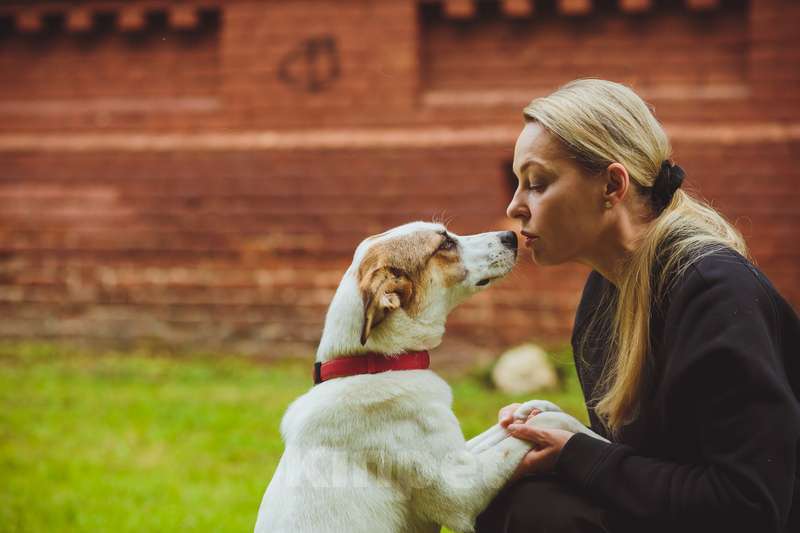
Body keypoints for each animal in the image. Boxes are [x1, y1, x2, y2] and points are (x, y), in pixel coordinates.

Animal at [256, 221, 608, 532]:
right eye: (445, 244)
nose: (511, 235)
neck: (373, 364)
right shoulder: (462, 491)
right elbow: (539, 428)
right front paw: (588, 438)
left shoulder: (460, 454)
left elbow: (522, 419)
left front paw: (531, 411)